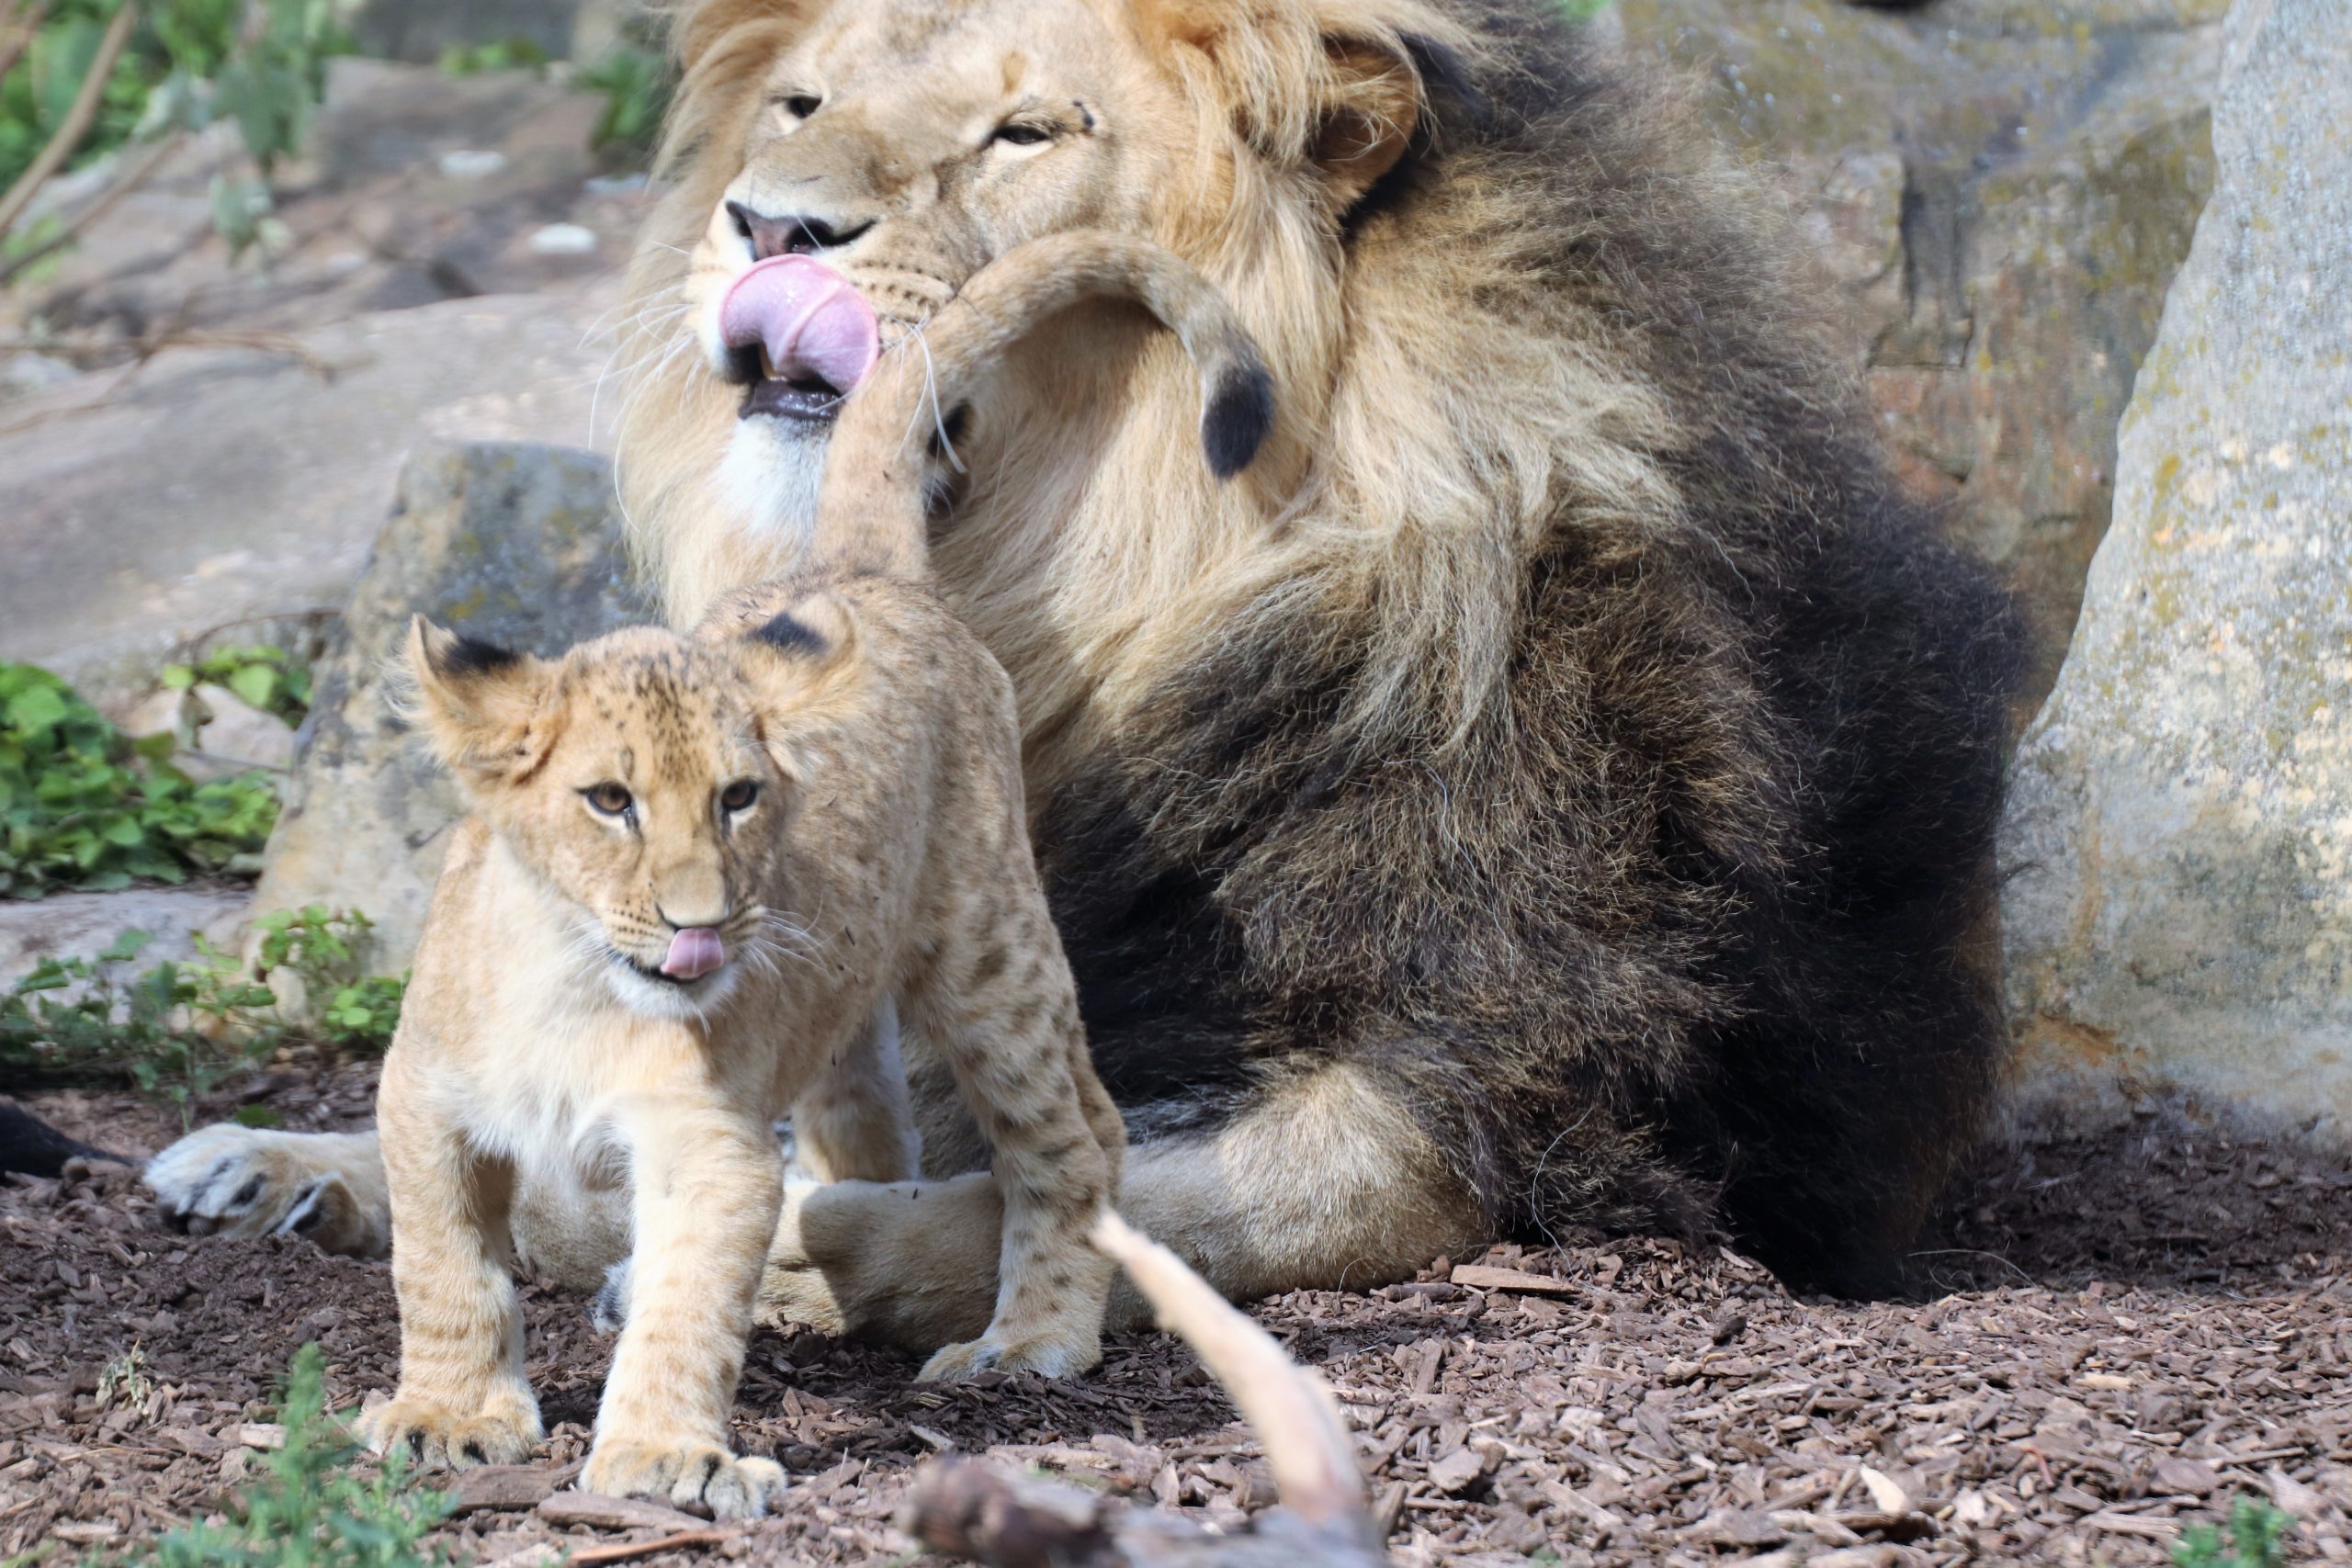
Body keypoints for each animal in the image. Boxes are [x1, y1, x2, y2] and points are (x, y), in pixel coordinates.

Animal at [147, 0, 2022, 1325]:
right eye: (801, 105)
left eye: (1026, 129)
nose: (768, 227)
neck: (1086, 598)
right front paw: (304, 1150)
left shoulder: (1505, 1062)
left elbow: (1157, 1187)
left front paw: (816, 1255)